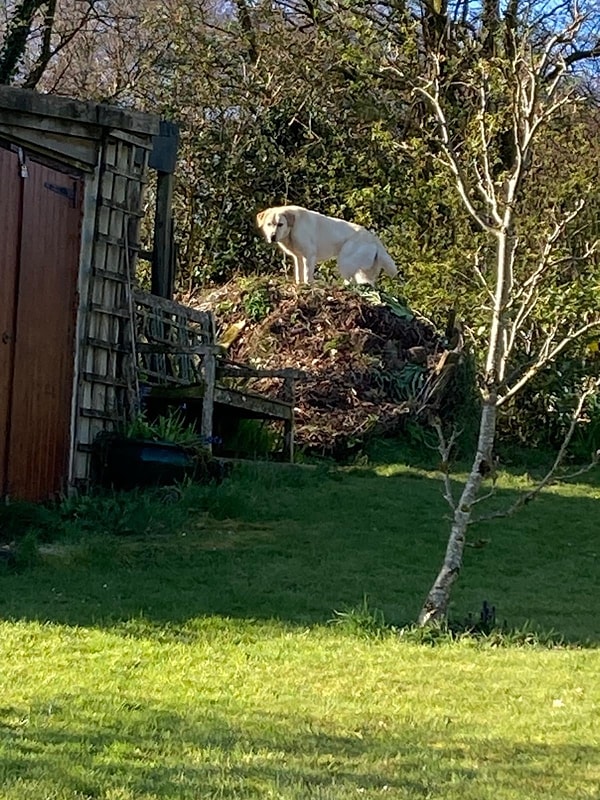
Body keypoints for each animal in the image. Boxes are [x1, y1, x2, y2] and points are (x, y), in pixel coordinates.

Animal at [254, 205, 398, 286]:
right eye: (269, 224)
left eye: (280, 224)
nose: (272, 237)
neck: (292, 227)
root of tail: (374, 238)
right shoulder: (298, 257)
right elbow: (299, 274)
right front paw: (300, 285)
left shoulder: (309, 255)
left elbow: (307, 274)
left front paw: (308, 285)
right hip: (363, 272)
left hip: (345, 261)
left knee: (350, 283)